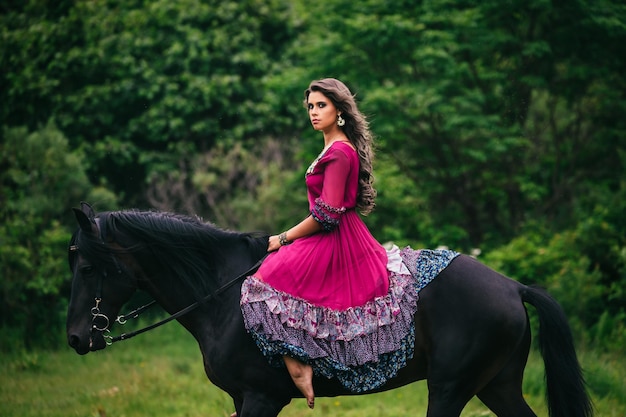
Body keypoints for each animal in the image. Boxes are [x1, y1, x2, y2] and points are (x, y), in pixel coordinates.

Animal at [67, 201, 588, 412]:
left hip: (451, 388)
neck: (221, 295)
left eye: (88, 268)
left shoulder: (261, 397)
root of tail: (514, 287)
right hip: (495, 386)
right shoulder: (242, 398)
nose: (75, 338)